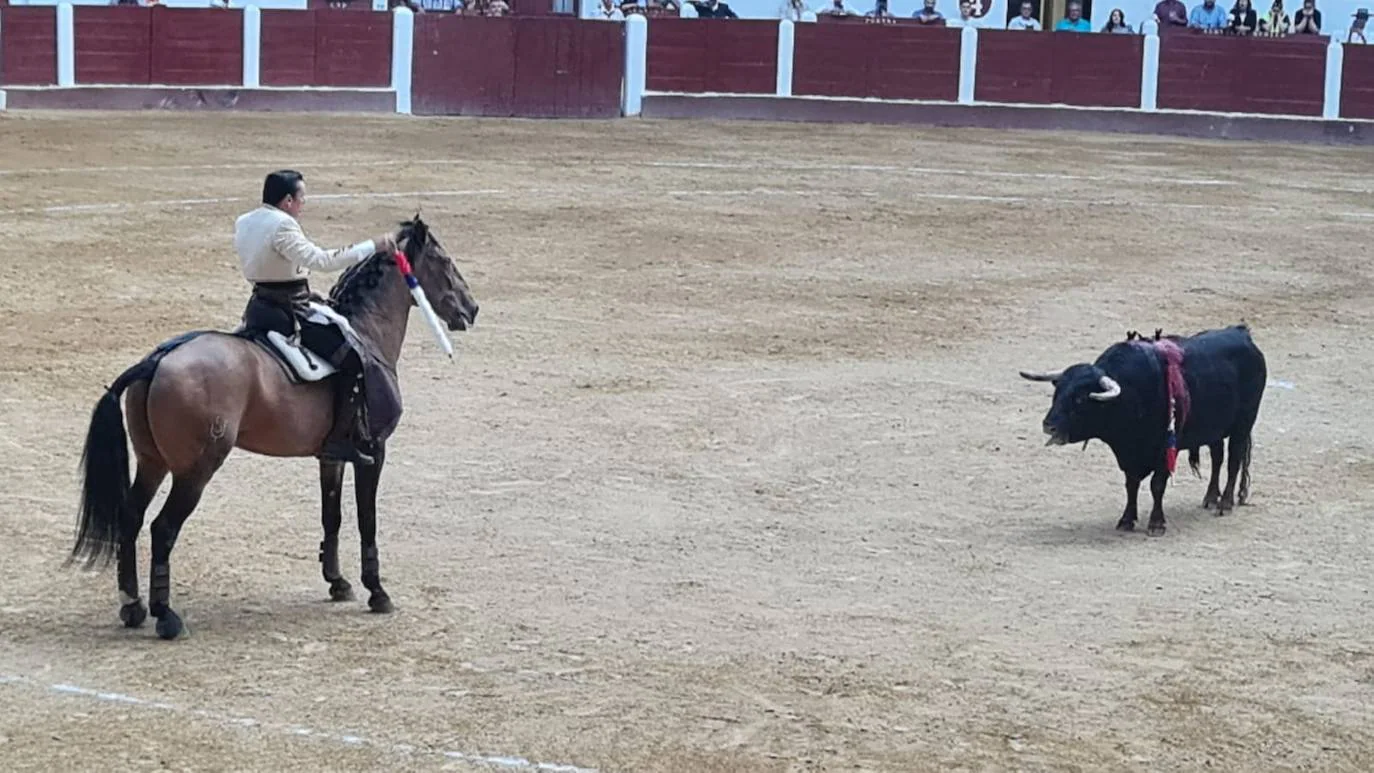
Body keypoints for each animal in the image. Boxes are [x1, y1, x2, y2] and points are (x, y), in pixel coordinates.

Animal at [68, 216, 478, 642]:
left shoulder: (331, 456)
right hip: (195, 471)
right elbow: (368, 520)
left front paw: (337, 582)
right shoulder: (374, 451)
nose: (472, 308)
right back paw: (166, 616)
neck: (367, 333)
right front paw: (377, 592)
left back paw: (132, 606)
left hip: (153, 462)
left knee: (131, 518)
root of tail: (157, 360)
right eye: (444, 261)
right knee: (162, 529)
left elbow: (332, 516)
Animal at [1022, 326, 1264, 538]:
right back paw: (1211, 498)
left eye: (1080, 398)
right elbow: (1131, 484)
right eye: (1058, 392)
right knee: (1217, 457)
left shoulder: (1166, 449)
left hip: (1243, 423)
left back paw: (1225, 503)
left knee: (1233, 460)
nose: (1048, 425)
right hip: (1215, 429)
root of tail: (1242, 332)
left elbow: (1157, 485)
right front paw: (1126, 520)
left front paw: (1156, 524)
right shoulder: (1128, 454)